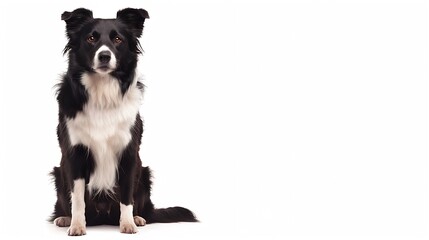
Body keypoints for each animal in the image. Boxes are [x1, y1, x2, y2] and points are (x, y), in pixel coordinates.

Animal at [49, 7, 196, 236]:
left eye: (117, 39)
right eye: (91, 38)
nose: (104, 55)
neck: (102, 93)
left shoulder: (128, 153)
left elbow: (127, 196)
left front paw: (128, 223)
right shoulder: (75, 153)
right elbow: (78, 198)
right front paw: (77, 225)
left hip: (144, 173)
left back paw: (138, 217)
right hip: (59, 172)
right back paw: (64, 218)